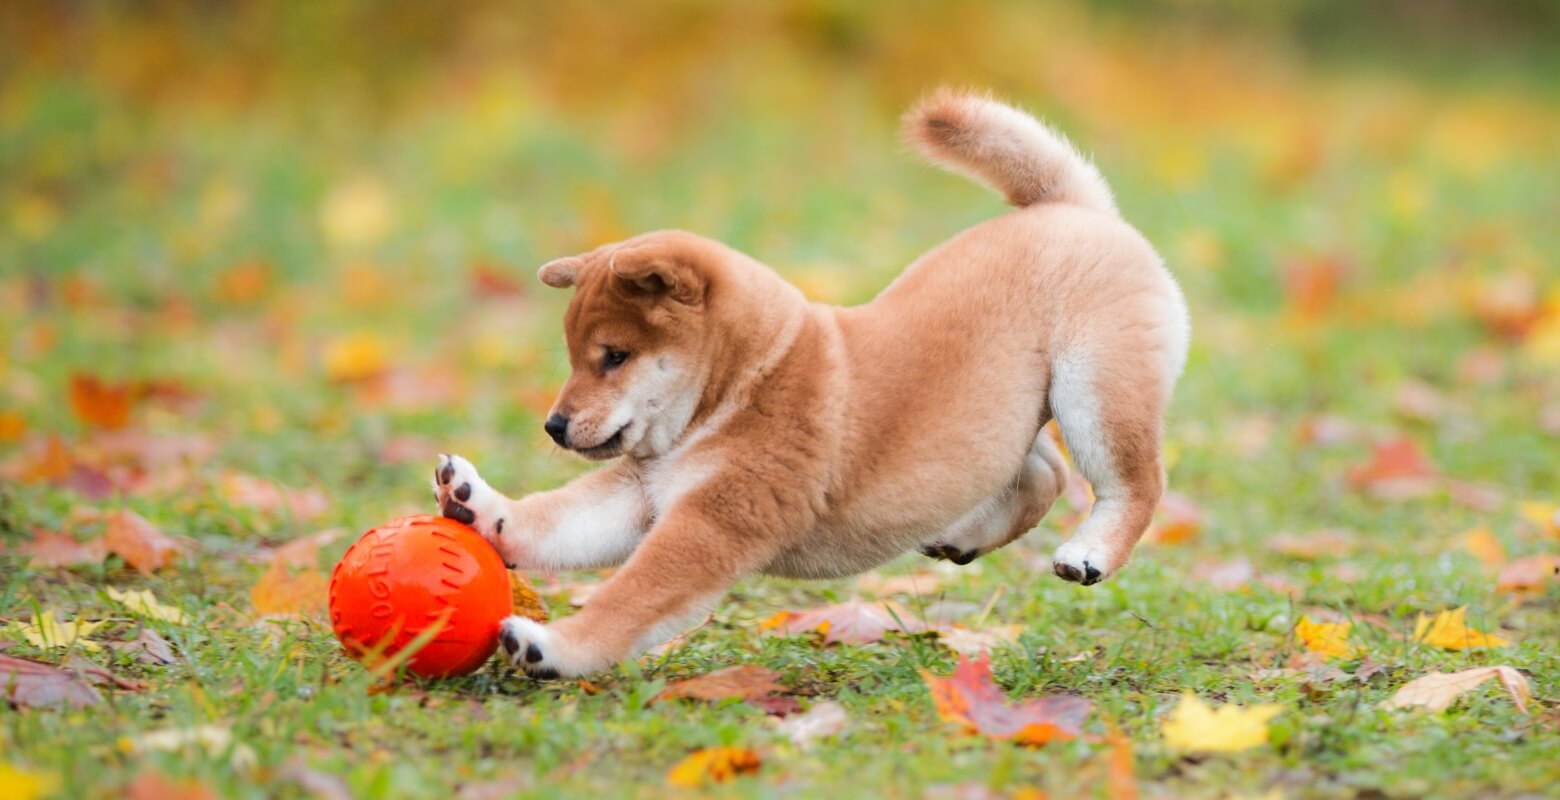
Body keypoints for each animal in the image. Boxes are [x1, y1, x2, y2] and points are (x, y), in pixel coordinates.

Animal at [433, 90, 1185, 676]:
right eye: (573, 357)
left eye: (613, 357)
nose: (554, 426)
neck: (743, 384)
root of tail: (1074, 211)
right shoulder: (643, 495)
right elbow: (554, 521)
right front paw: (478, 504)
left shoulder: (713, 520)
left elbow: (629, 599)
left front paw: (554, 646)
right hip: (1001, 421)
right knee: (1043, 473)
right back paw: (965, 536)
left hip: (1094, 391)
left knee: (1136, 482)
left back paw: (1089, 551)